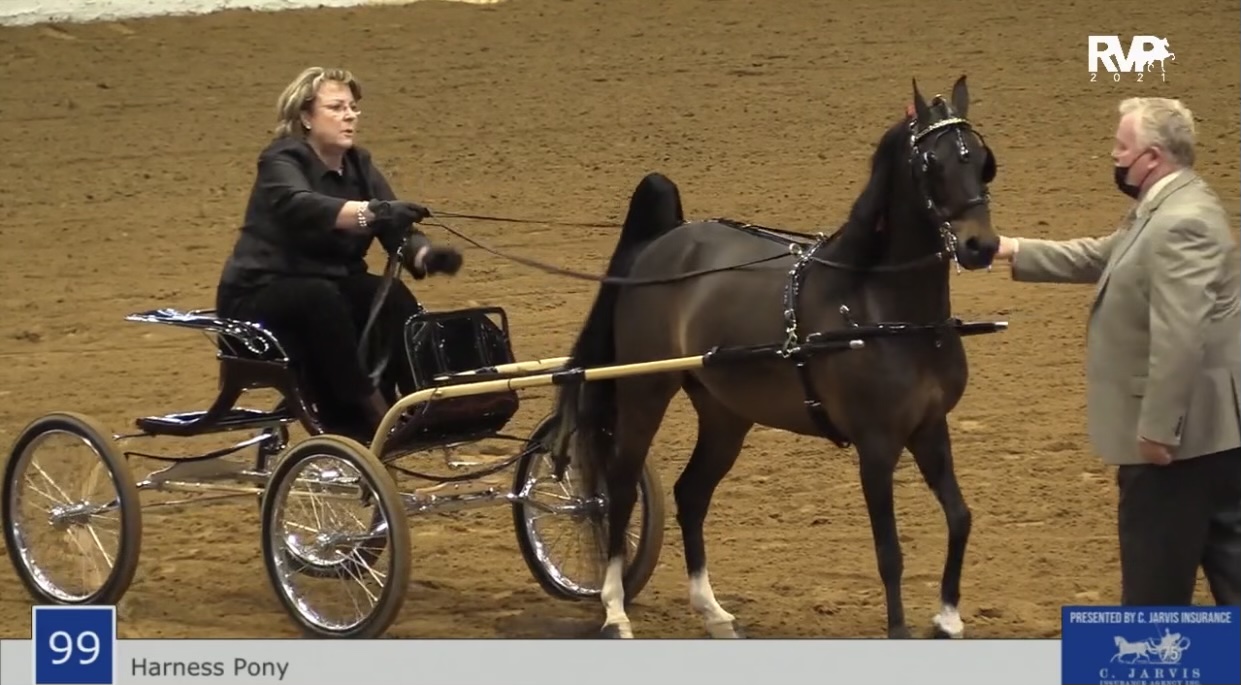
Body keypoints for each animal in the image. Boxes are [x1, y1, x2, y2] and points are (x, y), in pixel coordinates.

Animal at [547, 75, 1001, 639]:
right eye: (931, 163)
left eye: (980, 158)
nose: (981, 245)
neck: (883, 308)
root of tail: (662, 243)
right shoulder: (876, 443)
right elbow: (889, 552)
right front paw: (900, 631)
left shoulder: (929, 427)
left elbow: (960, 517)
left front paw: (948, 619)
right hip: (644, 392)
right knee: (622, 489)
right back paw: (614, 610)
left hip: (725, 413)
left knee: (690, 493)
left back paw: (713, 612)